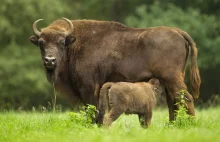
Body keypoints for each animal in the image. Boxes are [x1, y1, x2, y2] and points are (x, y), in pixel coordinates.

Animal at [29, 17, 201, 120]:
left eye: (61, 42)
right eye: (41, 43)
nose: (50, 60)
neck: (75, 43)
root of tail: (178, 32)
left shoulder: (88, 88)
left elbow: (92, 109)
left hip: (171, 78)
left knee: (185, 98)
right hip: (169, 81)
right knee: (174, 101)